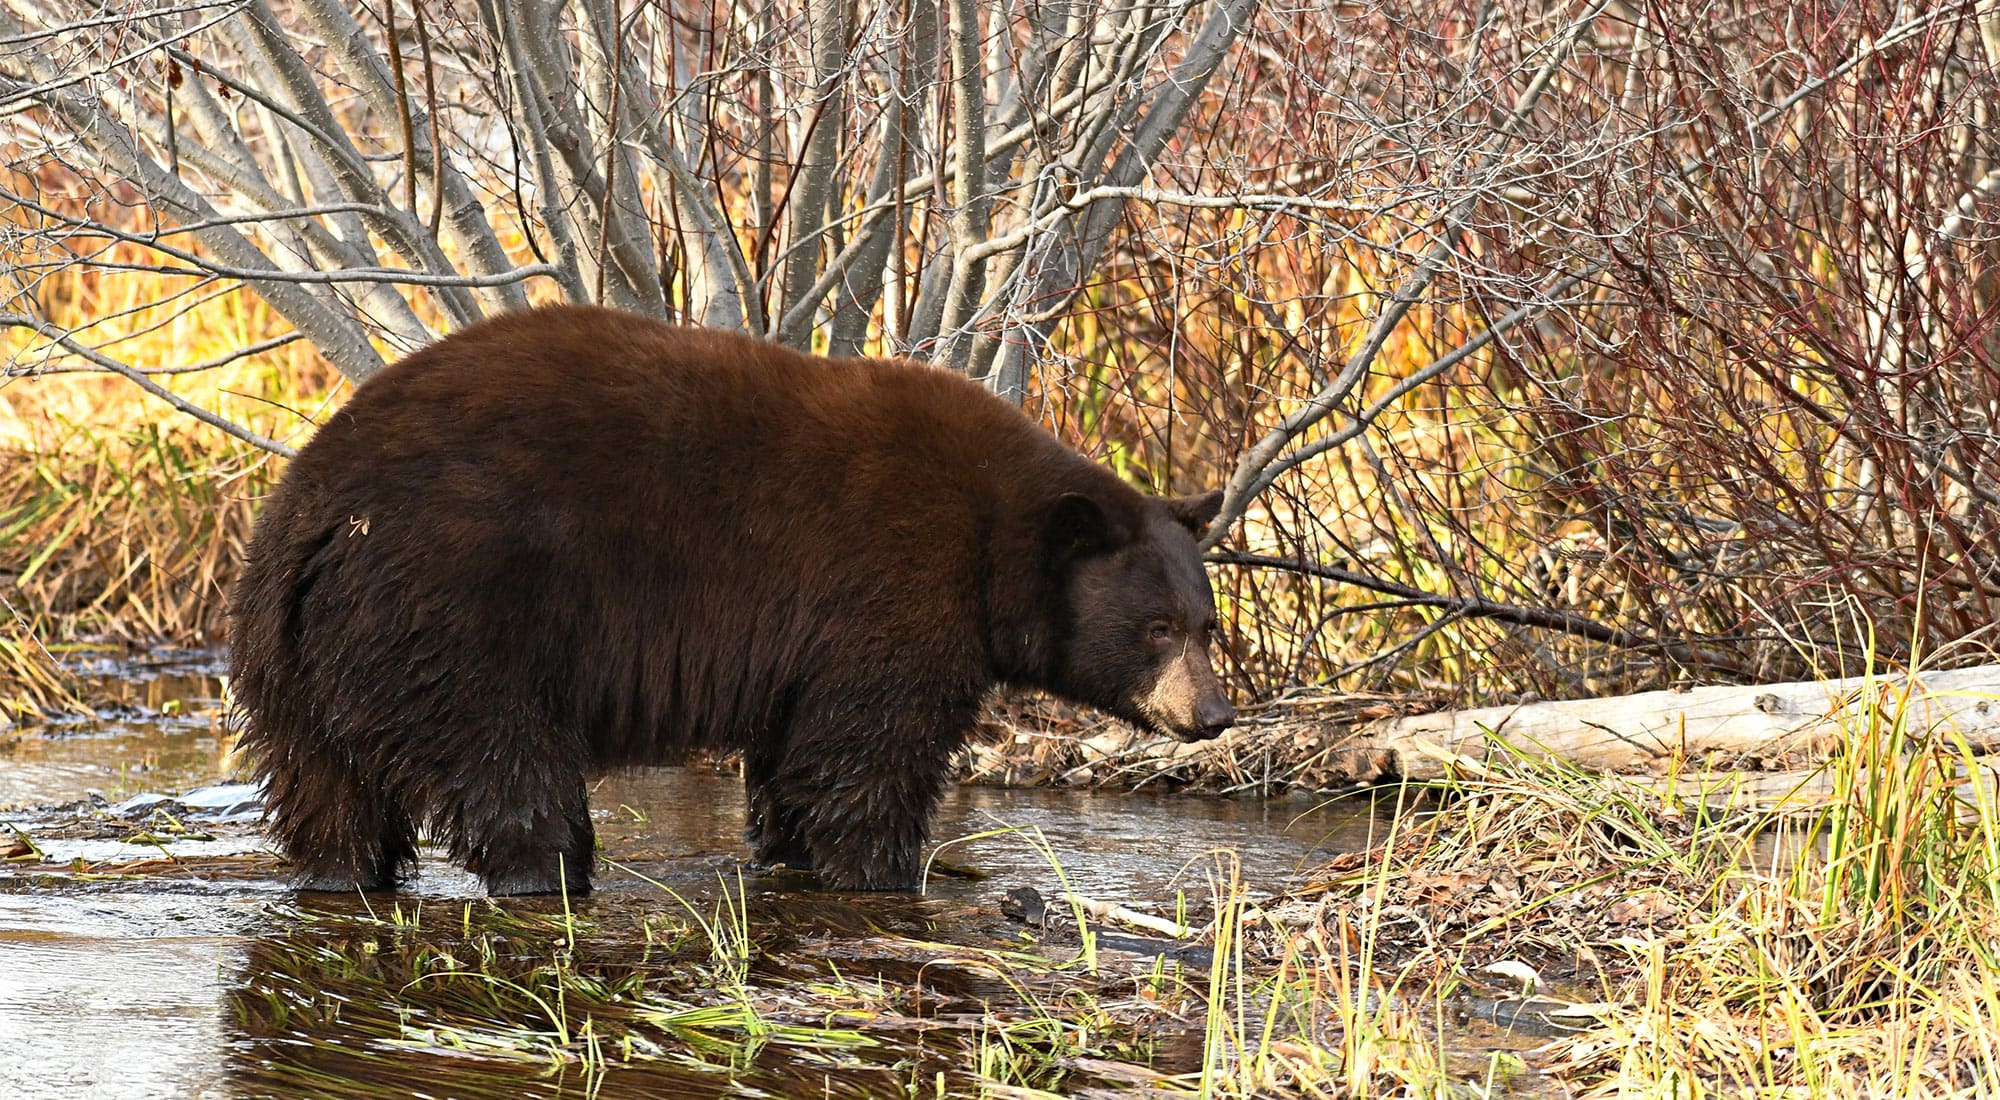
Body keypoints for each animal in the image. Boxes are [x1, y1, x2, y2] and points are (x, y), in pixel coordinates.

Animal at [228, 305, 1235, 895]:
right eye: (1157, 628)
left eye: (1207, 626)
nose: (1215, 715)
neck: (995, 540)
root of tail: (320, 512)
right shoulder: (891, 584)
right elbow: (869, 753)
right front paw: (891, 871)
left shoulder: (809, 650)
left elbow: (797, 758)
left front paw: (791, 851)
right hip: (459, 608)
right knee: (509, 767)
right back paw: (548, 873)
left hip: (296, 657)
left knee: (327, 791)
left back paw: (341, 875)